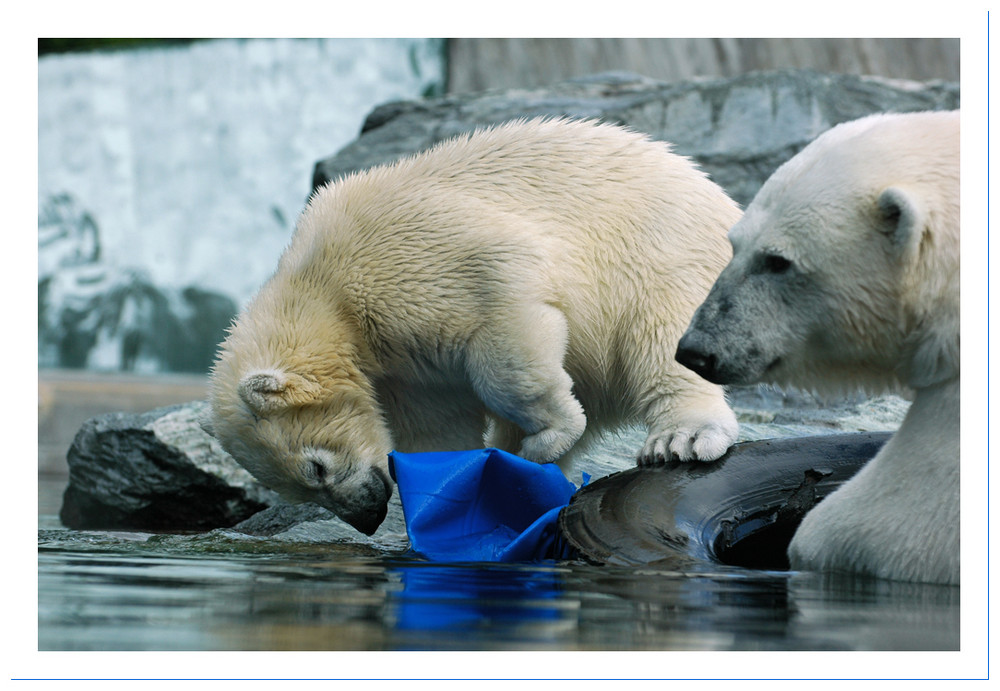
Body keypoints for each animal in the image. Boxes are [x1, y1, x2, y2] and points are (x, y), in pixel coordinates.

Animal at [211, 119, 744, 536]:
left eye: (316, 467)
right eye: (293, 488)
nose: (366, 517)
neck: (320, 286)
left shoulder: (407, 262)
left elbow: (503, 312)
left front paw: (551, 432)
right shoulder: (398, 367)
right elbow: (438, 422)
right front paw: (457, 484)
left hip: (661, 254)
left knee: (660, 334)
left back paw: (680, 438)